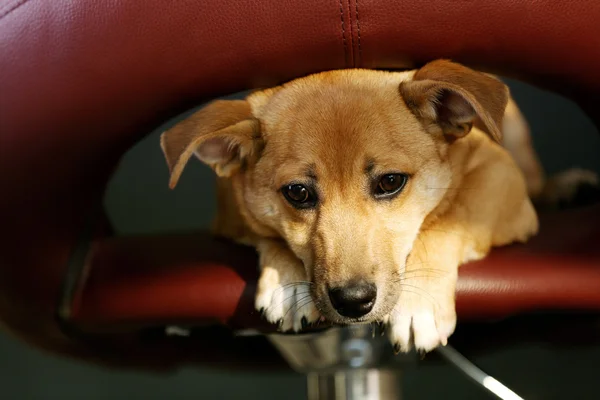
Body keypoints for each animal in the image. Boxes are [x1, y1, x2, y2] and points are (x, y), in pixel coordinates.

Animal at [158, 59, 596, 354]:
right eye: (297, 193)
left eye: (390, 182)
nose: (353, 302)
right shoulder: (229, 214)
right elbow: (269, 233)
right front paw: (287, 282)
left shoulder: (498, 176)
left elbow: (447, 223)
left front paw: (419, 303)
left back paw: (566, 187)